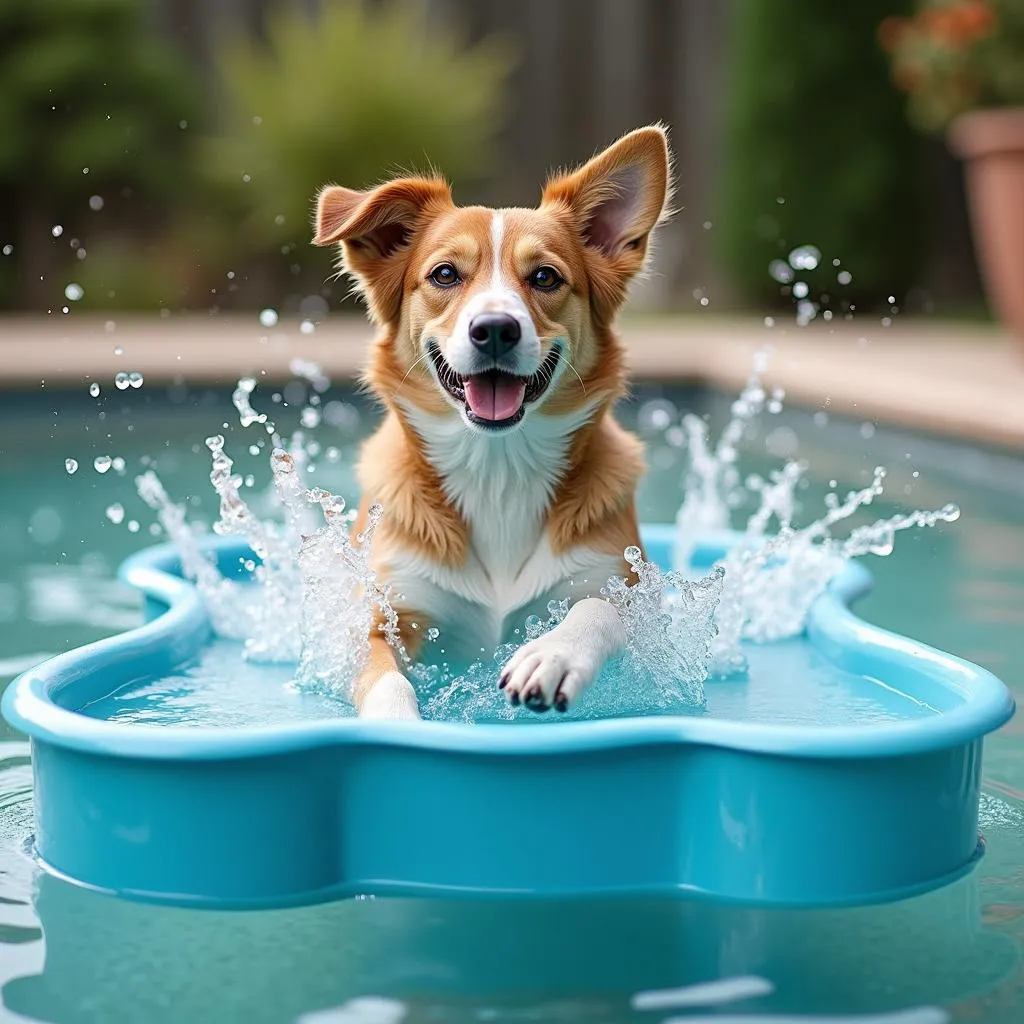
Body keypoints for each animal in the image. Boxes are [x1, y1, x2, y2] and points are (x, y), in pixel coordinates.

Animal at [311, 125, 671, 720]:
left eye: (545, 276)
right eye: (445, 274)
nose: (496, 329)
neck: (498, 468)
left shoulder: (630, 596)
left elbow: (598, 611)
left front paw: (552, 655)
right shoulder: (381, 617)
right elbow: (386, 679)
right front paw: (398, 722)